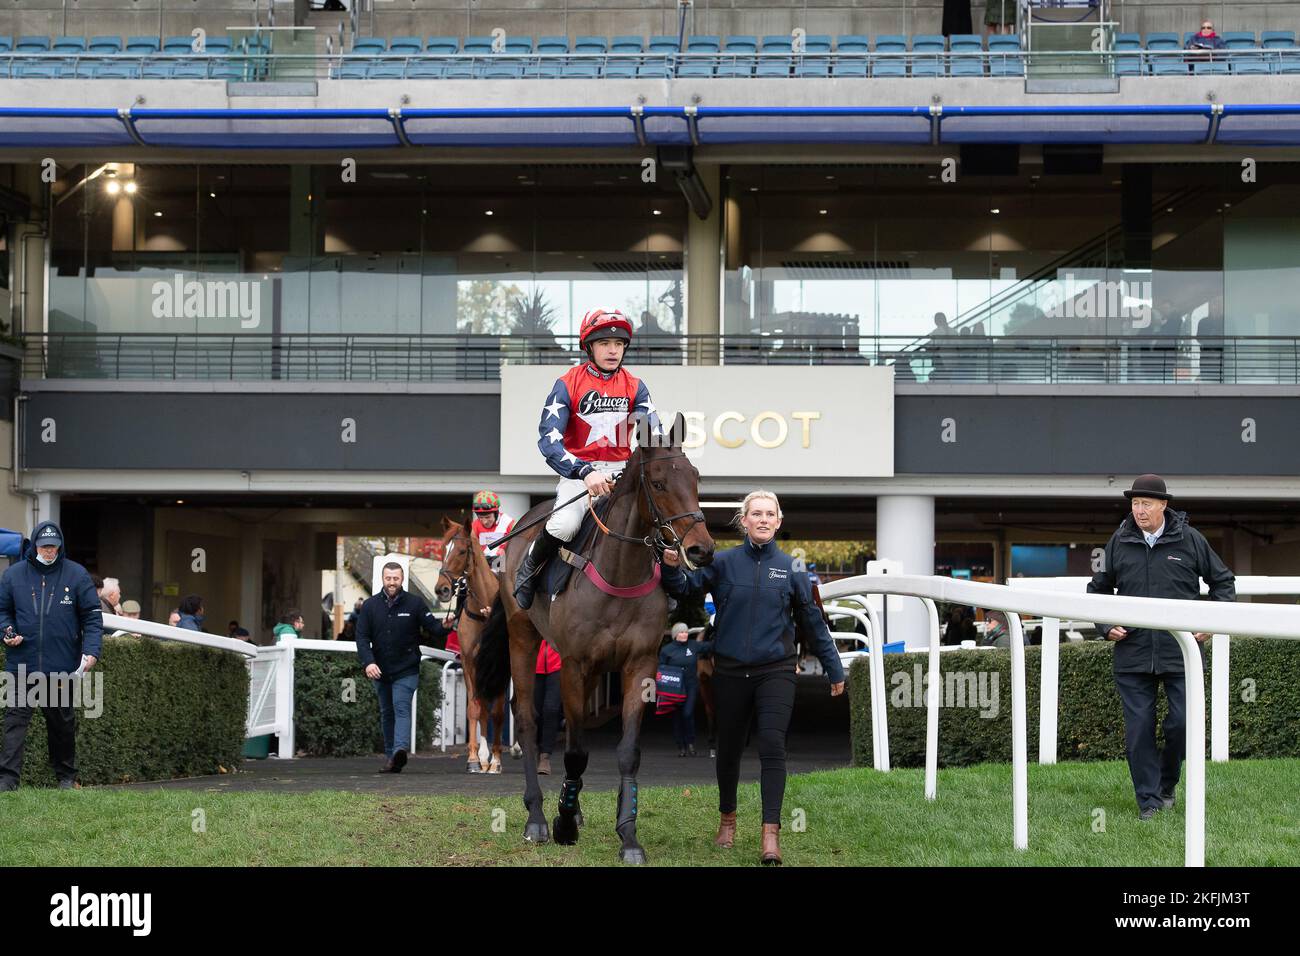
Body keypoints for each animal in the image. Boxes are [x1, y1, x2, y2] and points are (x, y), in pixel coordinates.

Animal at [436, 515, 506, 780]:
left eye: (462, 550)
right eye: (442, 549)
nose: (442, 589)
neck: (486, 610)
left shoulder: (502, 664)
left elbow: (498, 712)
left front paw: (496, 761)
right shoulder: (469, 662)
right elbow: (475, 709)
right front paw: (476, 759)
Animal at [475, 416, 717, 863]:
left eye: (695, 478)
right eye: (659, 482)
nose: (702, 550)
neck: (619, 573)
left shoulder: (639, 664)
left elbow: (626, 751)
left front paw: (628, 836)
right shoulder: (574, 664)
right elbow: (574, 751)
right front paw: (562, 823)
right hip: (523, 636)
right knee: (529, 719)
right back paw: (537, 816)